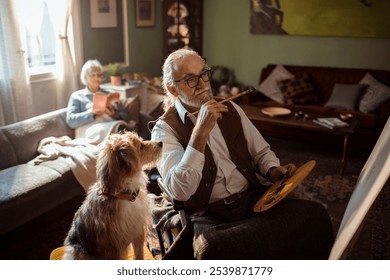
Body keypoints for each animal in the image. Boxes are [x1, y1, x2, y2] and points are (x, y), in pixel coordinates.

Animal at [62, 132, 161, 260]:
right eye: (141, 146)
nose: (161, 143)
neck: (122, 194)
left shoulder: (138, 233)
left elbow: (139, 256)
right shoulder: (113, 249)